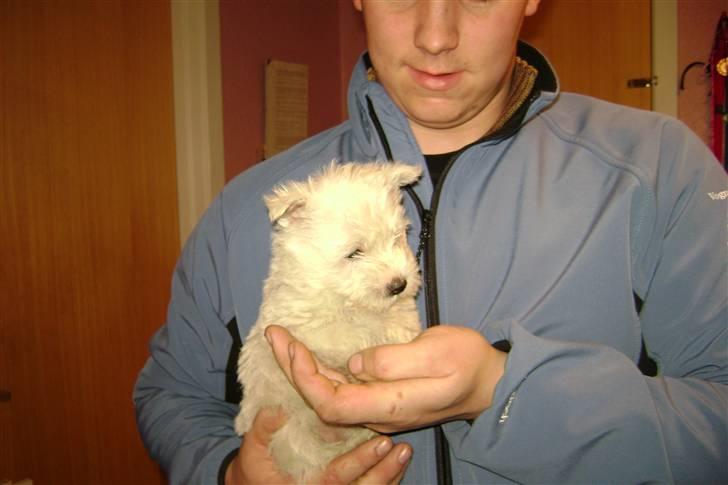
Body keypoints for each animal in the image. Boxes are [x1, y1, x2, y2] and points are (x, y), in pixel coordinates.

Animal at [236, 160, 424, 480]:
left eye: (396, 238)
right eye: (354, 253)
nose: (398, 284)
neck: (336, 291)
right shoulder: (306, 322)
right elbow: (349, 334)